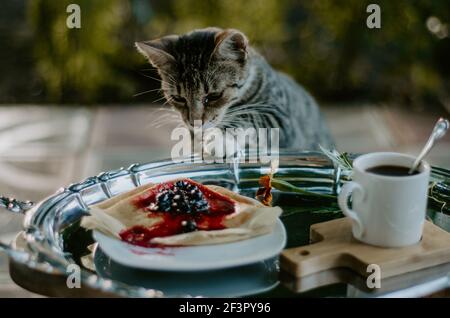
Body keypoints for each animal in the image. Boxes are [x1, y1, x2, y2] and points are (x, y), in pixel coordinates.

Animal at [135, 27, 332, 149]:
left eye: (214, 95)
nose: (195, 122)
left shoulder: (282, 119)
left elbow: (251, 118)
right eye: (178, 98)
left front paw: (217, 139)